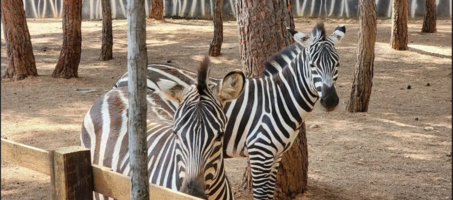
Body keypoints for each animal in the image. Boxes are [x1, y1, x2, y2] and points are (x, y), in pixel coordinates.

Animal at [114, 22, 346, 200]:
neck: (279, 100)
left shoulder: (276, 155)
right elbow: (261, 195)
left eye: (337, 63)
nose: (330, 100)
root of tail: (124, 76)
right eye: (313, 64)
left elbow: (270, 193)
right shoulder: (260, 152)